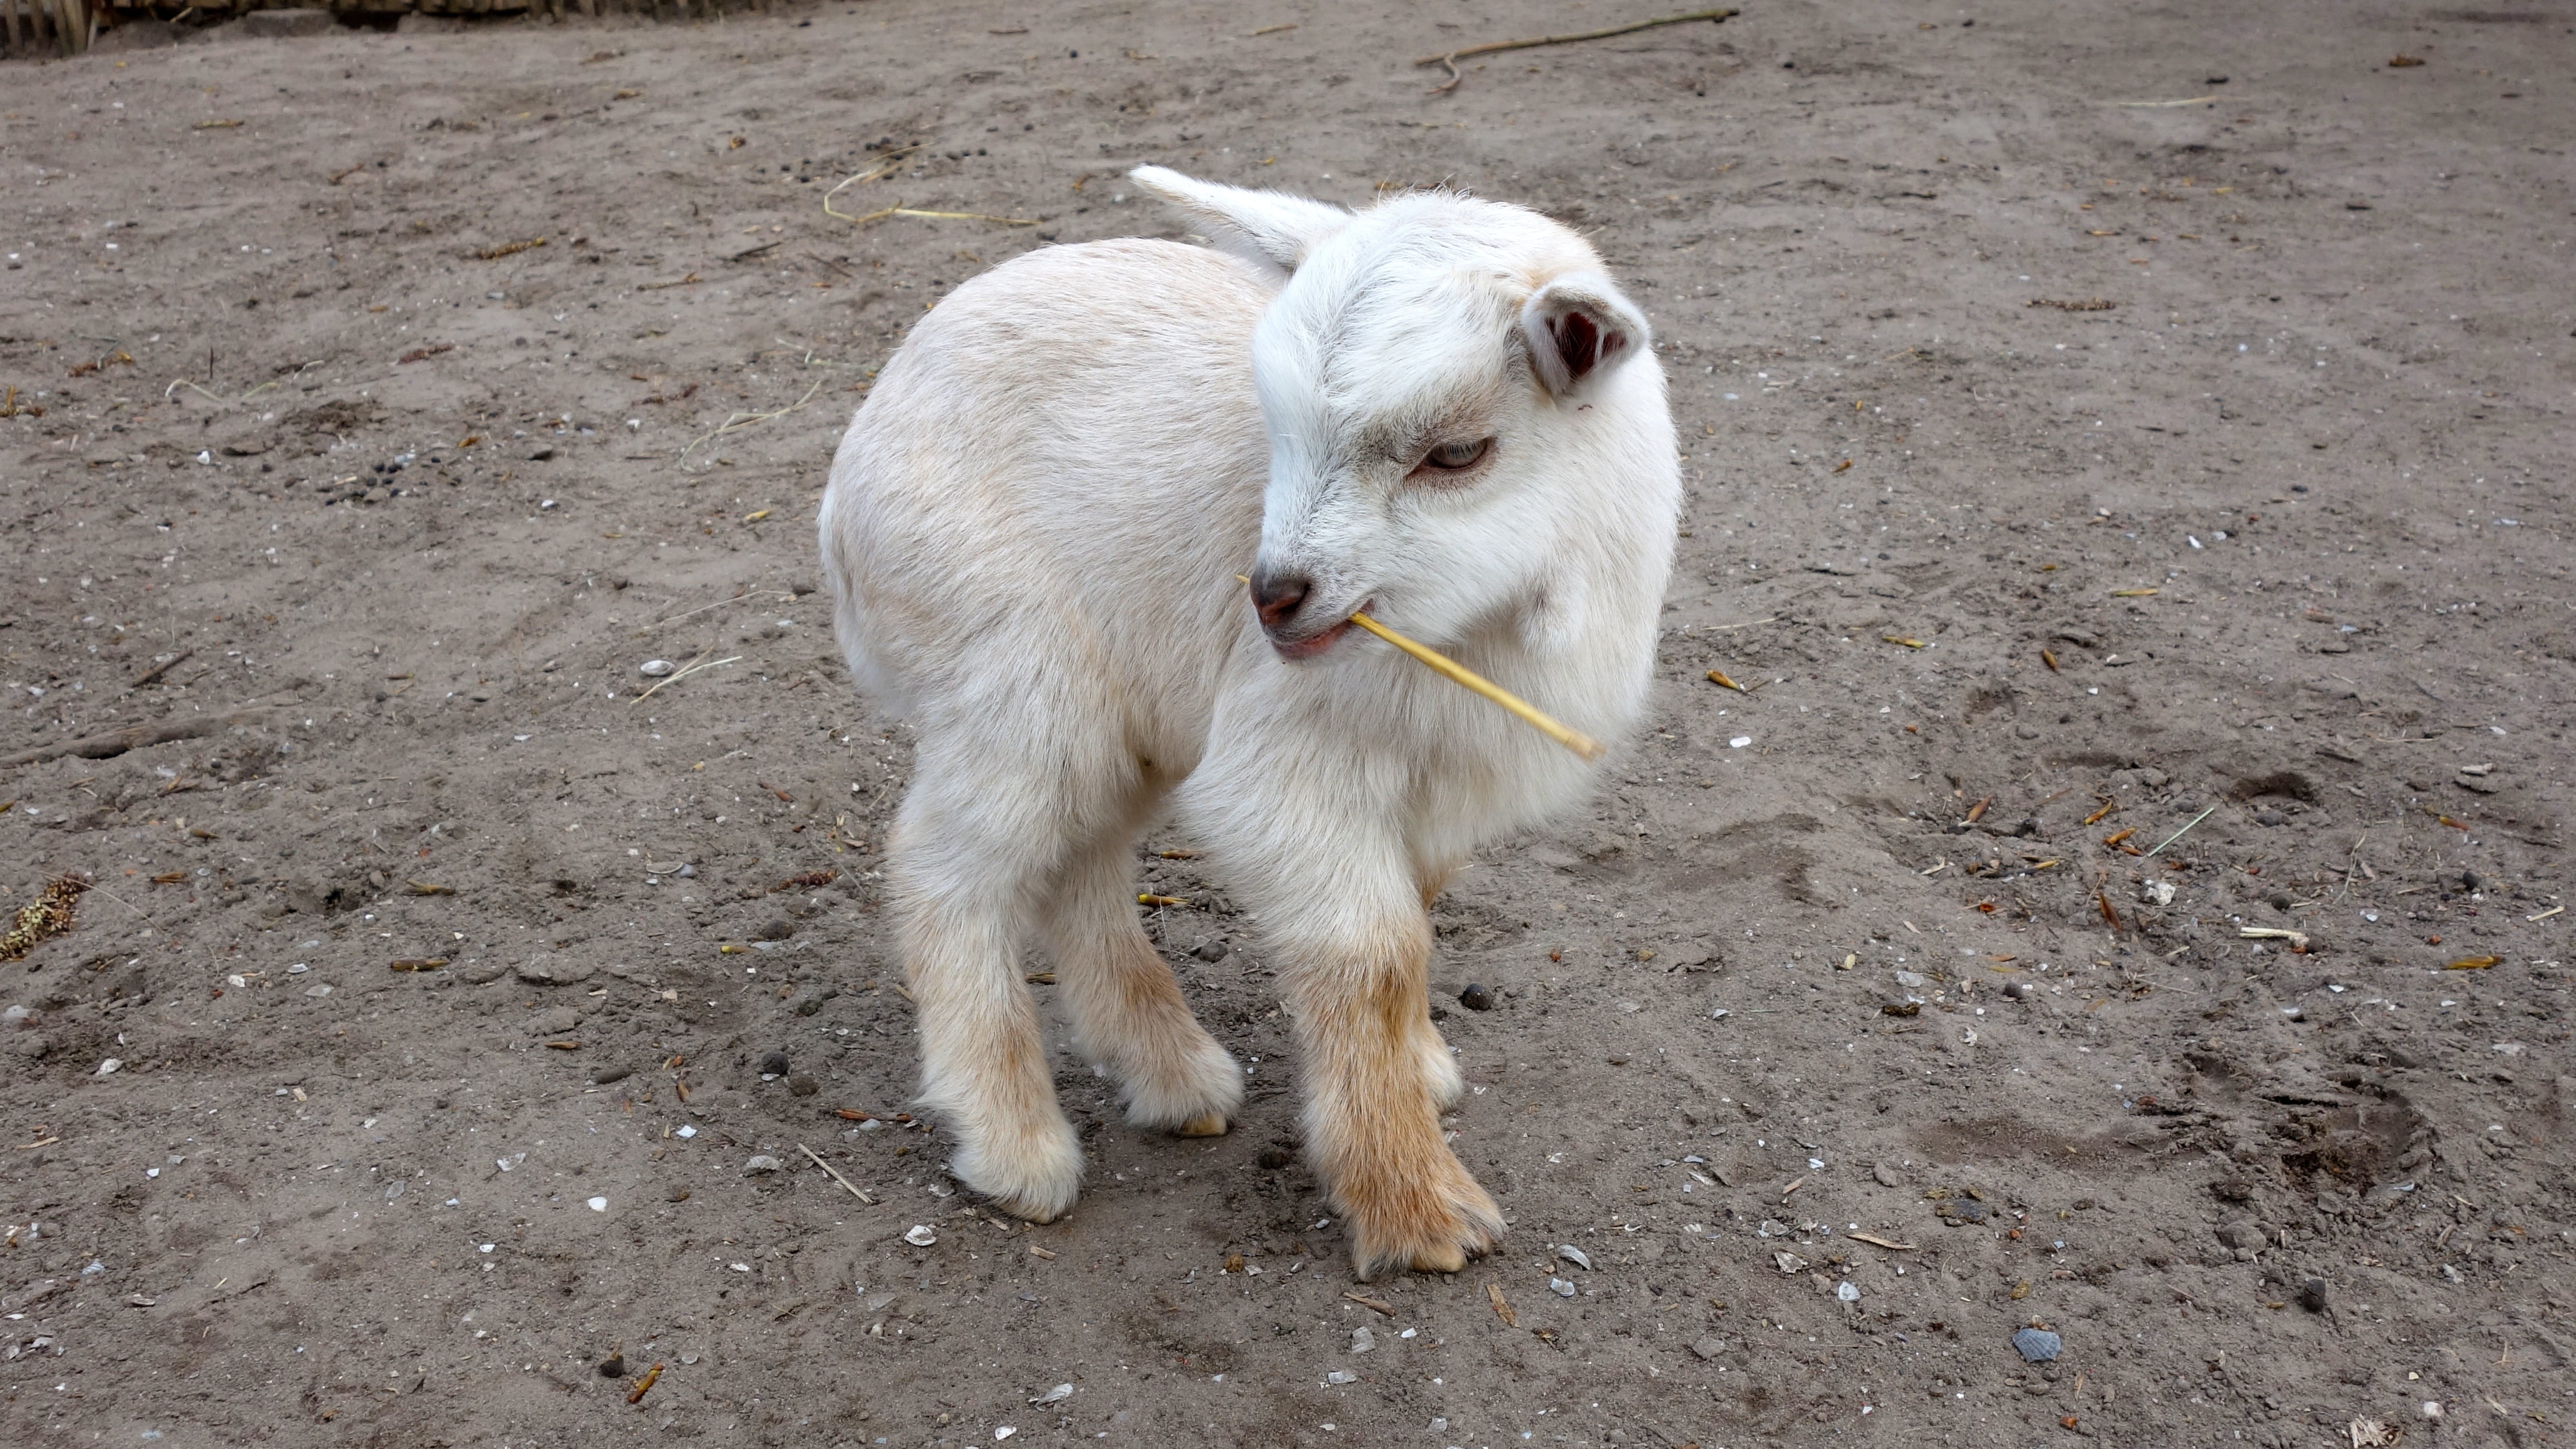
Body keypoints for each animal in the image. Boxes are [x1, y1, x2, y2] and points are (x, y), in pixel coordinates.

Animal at [817, 166, 1678, 1277]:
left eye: (1456, 453)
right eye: (1275, 430)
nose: (1271, 598)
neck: (1475, 636)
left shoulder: (1437, 784)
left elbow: (1417, 920)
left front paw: (1420, 1069)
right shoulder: (1283, 765)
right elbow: (1371, 953)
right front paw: (1416, 1207)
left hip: (1119, 700)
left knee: (1080, 860)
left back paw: (1172, 1075)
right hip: (1010, 667)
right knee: (945, 866)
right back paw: (1017, 1146)